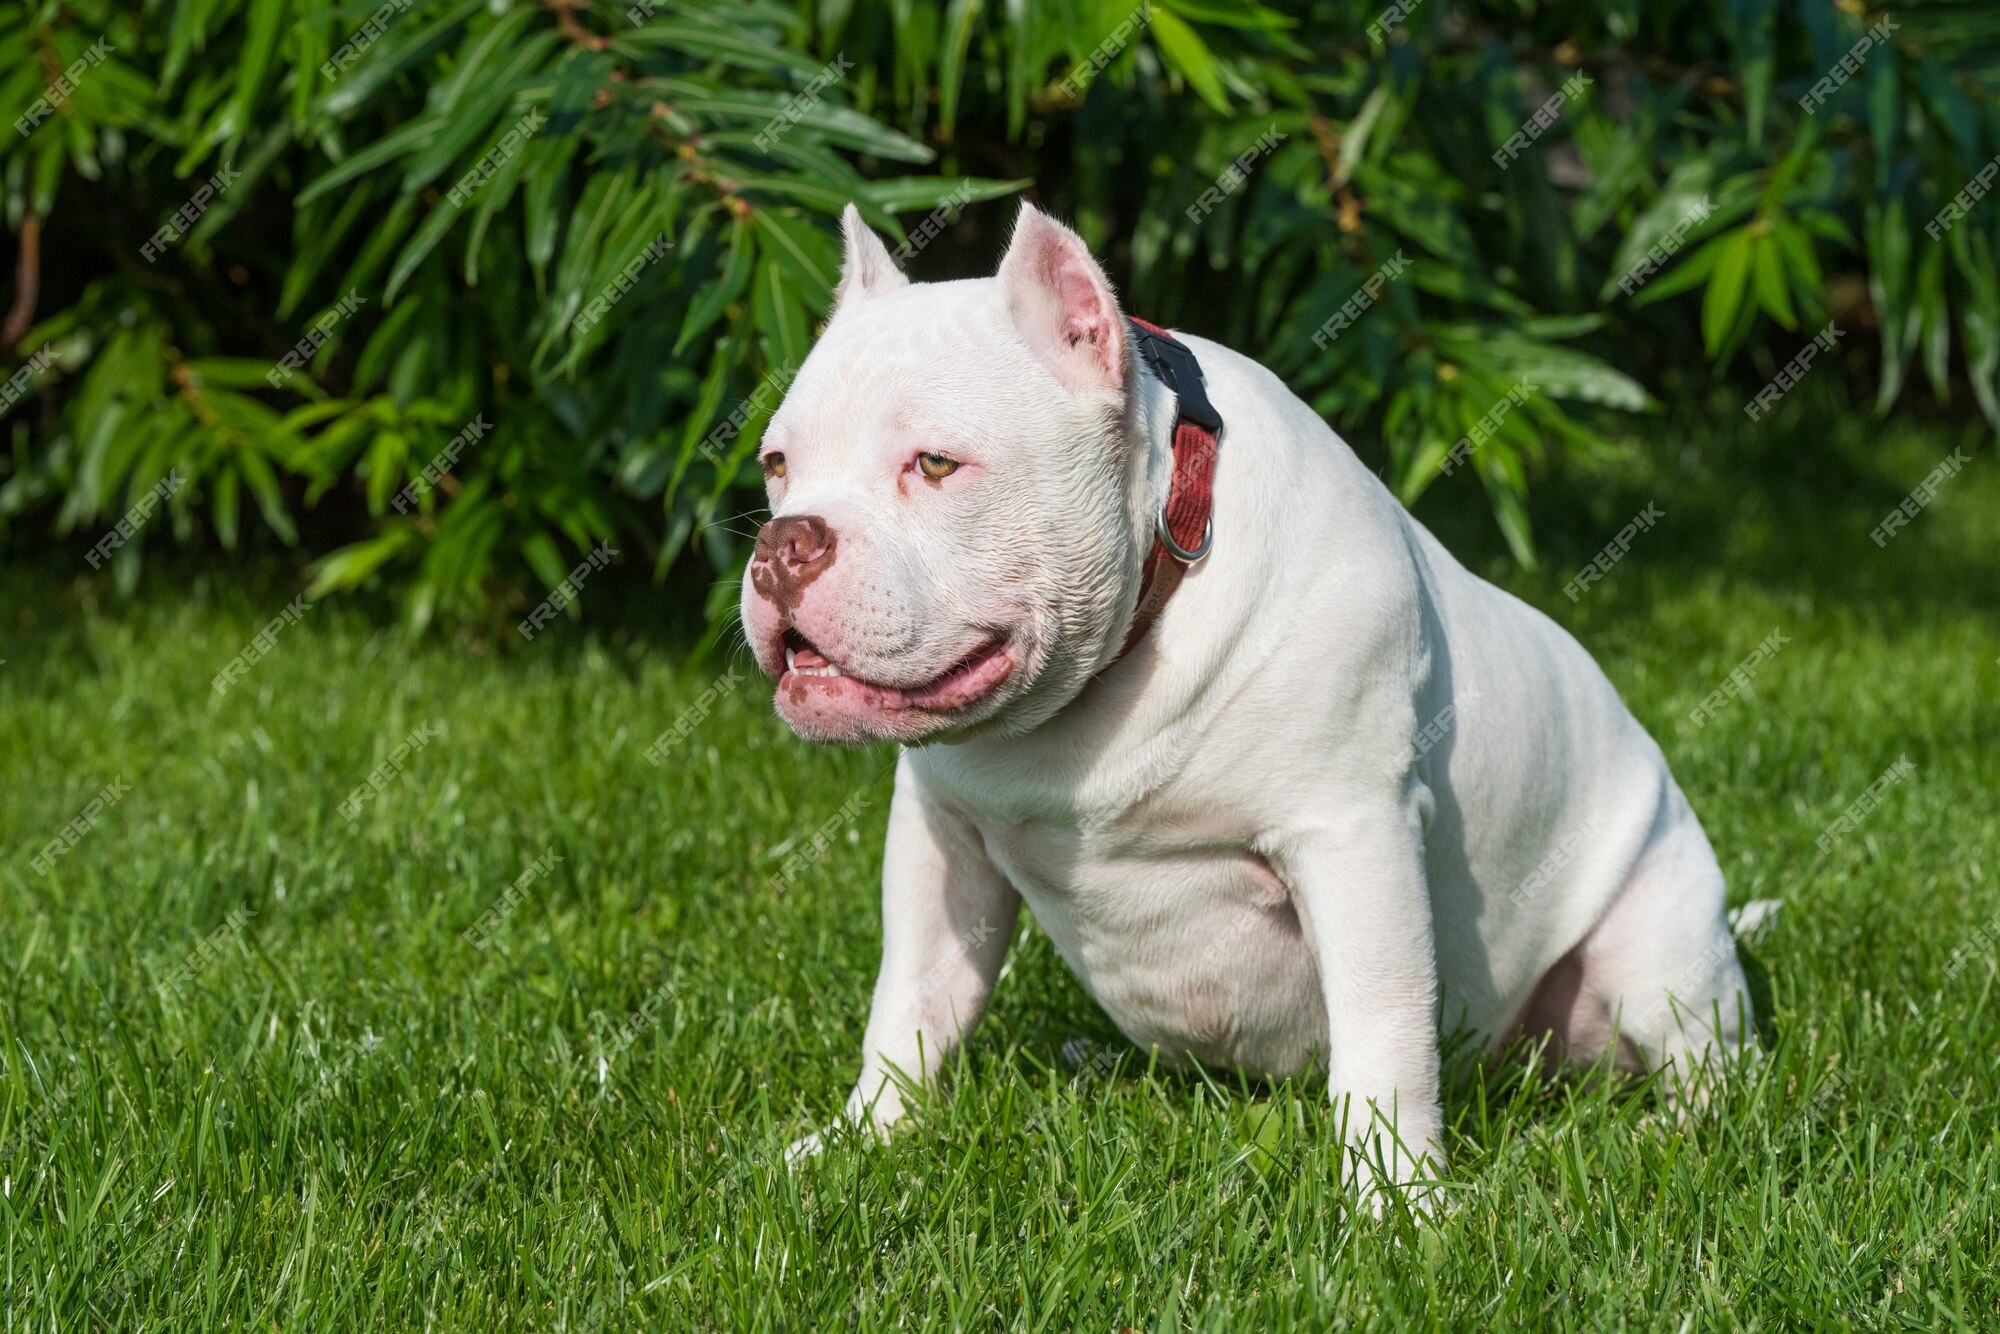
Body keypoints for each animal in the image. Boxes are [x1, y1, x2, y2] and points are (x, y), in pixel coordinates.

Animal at [740, 201, 1752, 1200]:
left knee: (1708, 1066)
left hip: (1657, 943)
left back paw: (1667, 1135)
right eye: (778, 464)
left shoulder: (1354, 838)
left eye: (938, 465)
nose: (784, 544)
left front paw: (1397, 1202)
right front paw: (862, 1139)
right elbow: (913, 1003)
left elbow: (1383, 1034)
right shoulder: (941, 842)